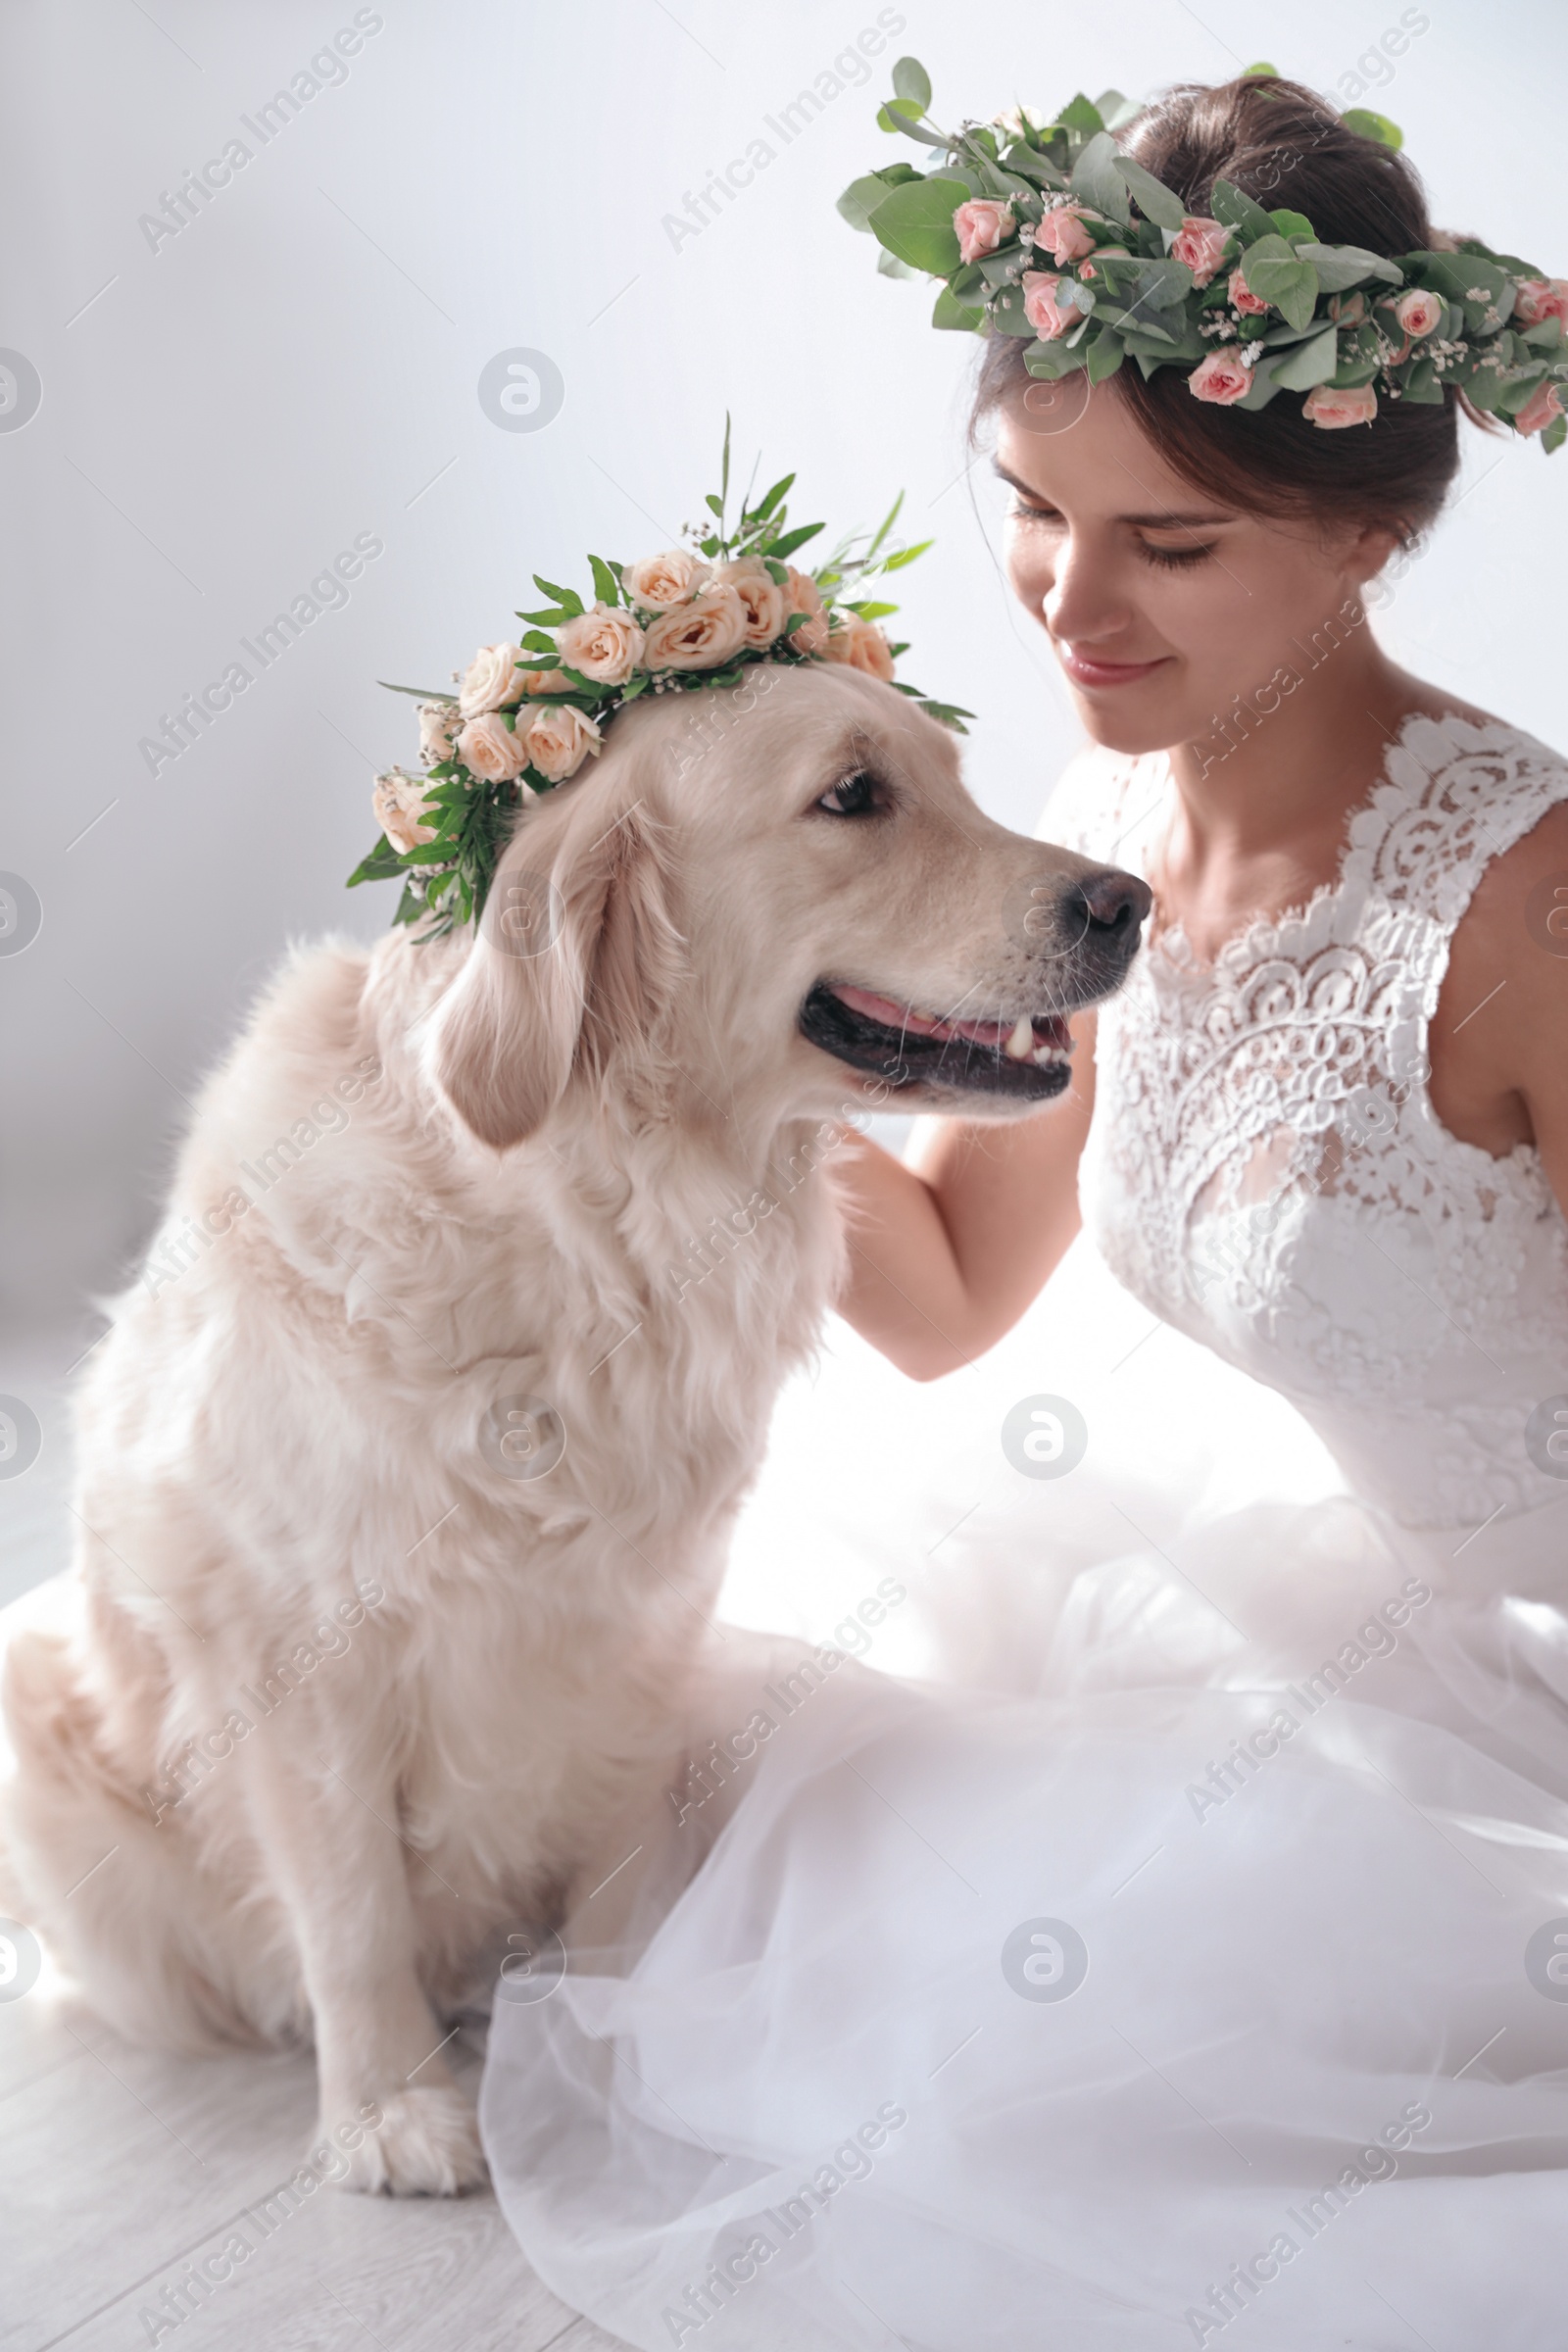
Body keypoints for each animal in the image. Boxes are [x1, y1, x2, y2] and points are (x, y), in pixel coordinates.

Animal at [3, 662, 1152, 2182]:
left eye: (952, 783)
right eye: (852, 796)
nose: (1133, 900)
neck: (590, 1215)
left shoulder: (642, 1629)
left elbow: (615, 1866)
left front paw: (612, 2059)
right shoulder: (295, 1649)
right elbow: (352, 1910)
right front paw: (391, 2113)